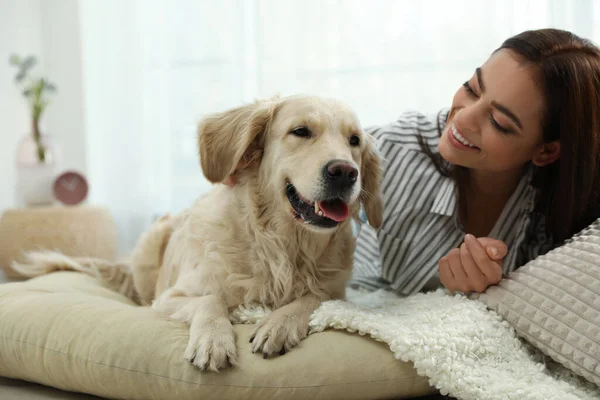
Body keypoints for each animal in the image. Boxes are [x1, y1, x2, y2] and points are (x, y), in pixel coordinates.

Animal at [11, 94, 382, 372]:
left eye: (354, 140)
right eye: (301, 131)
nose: (345, 172)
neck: (282, 244)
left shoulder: (336, 291)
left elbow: (312, 297)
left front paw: (278, 324)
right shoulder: (170, 297)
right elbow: (210, 298)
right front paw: (213, 340)